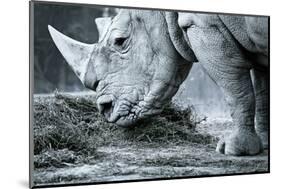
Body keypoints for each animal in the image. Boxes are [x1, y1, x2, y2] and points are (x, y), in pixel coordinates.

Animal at [48, 8, 270, 156]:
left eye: (120, 41)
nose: (105, 109)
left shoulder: (204, 25)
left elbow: (234, 88)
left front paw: (234, 149)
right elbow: (262, 90)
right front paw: (265, 145)